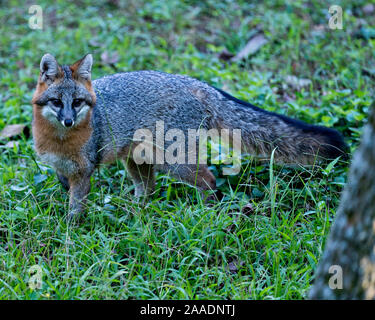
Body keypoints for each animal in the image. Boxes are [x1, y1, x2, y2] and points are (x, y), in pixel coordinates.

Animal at [31, 54, 350, 220]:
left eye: (78, 103)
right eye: (57, 102)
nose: (69, 120)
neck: (60, 140)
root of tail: (194, 83)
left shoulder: (84, 171)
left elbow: (76, 205)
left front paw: (70, 230)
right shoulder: (62, 167)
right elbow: (64, 183)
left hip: (174, 163)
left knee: (208, 180)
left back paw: (206, 213)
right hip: (138, 160)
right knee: (148, 189)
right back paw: (135, 212)